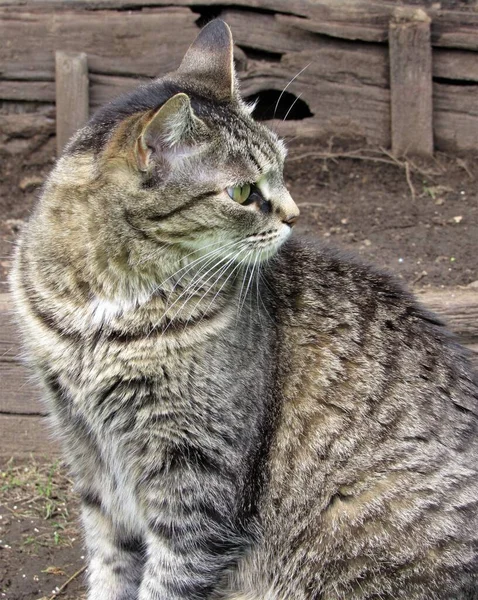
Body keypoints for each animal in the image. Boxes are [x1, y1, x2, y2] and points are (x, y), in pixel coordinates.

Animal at [11, 18, 478, 600]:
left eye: (281, 168)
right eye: (240, 192)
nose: (295, 215)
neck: (99, 313)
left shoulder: (198, 477)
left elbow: (168, 578)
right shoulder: (86, 450)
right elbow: (110, 563)